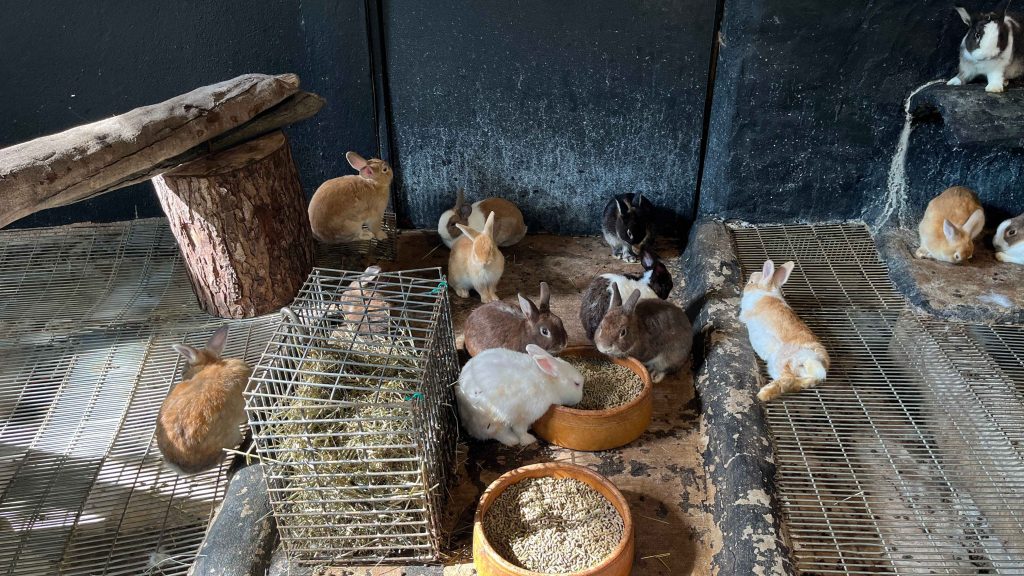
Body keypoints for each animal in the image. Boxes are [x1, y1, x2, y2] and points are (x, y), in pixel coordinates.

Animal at [455, 344, 583, 446]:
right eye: (577, 384)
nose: (580, 398)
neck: (548, 381)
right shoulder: (524, 416)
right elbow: (520, 430)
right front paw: (528, 440)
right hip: (493, 421)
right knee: (495, 433)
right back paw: (512, 440)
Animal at [740, 260, 830, 402]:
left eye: (751, 282)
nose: (746, 285)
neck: (766, 292)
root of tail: (817, 361)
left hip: (780, 361)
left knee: (787, 380)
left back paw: (763, 394)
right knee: (795, 383)